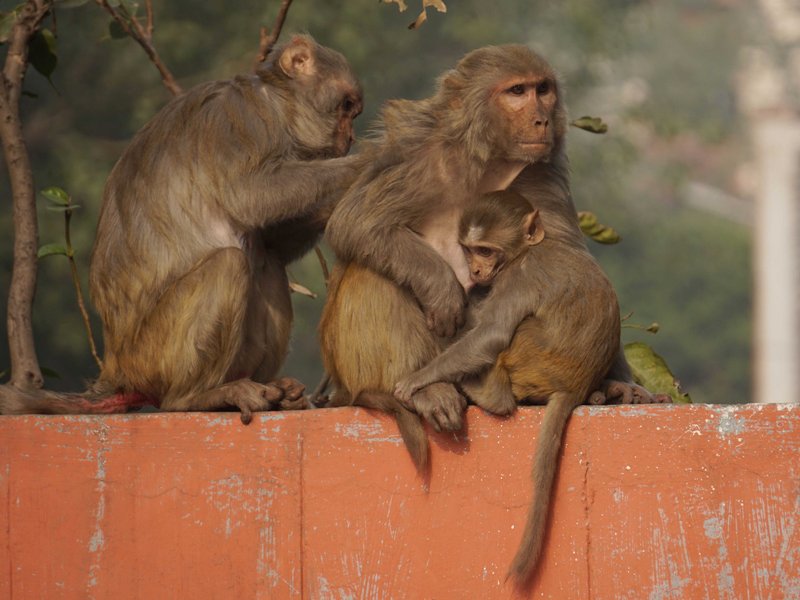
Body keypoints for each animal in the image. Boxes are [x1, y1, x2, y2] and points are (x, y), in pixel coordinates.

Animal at [0, 34, 363, 422]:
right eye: (346, 106)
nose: (350, 138)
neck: (277, 106)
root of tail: (117, 373)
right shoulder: (240, 123)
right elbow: (250, 195)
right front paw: (371, 161)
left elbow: (272, 241)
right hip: (154, 357)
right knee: (229, 264)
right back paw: (197, 397)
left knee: (266, 263)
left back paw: (273, 391)